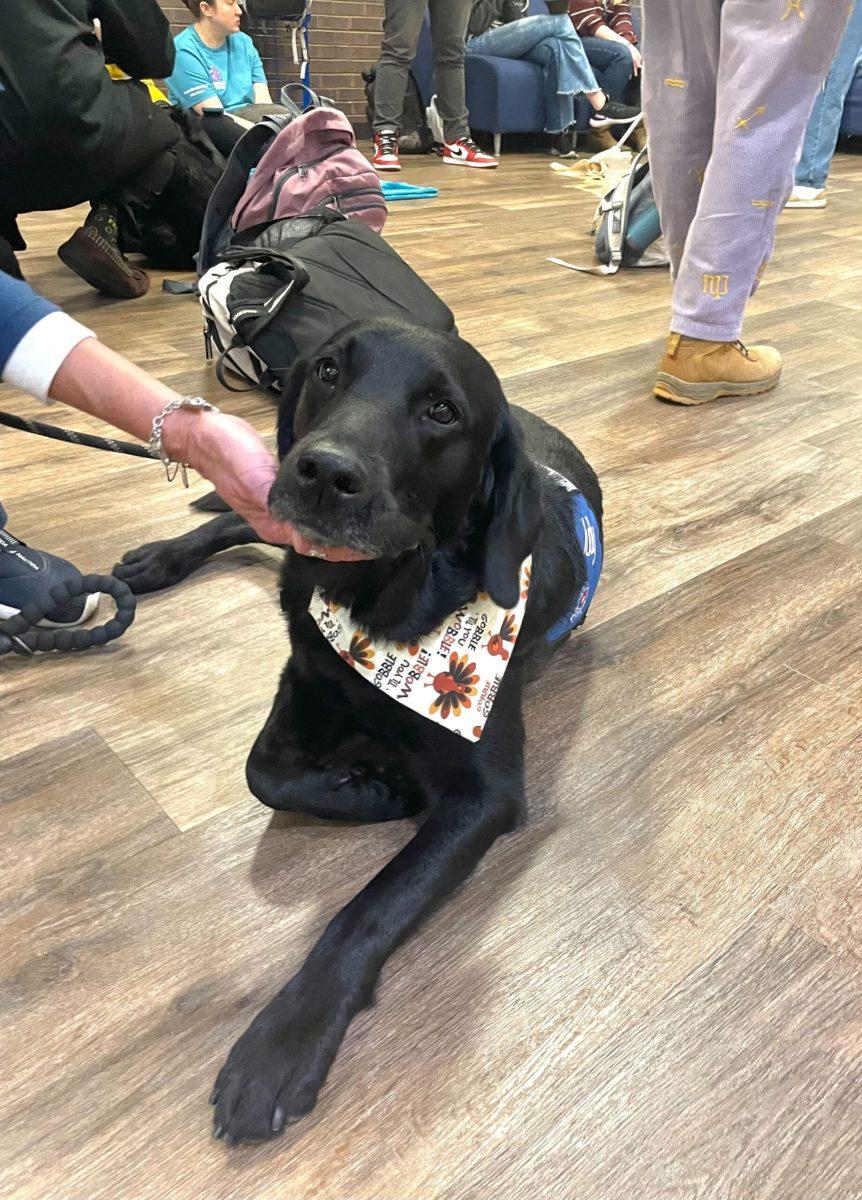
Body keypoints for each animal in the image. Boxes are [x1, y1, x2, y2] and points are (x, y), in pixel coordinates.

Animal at [112, 319, 600, 1142]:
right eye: (330, 371)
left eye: (442, 411)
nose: (324, 471)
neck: (386, 602)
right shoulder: (307, 669)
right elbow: (263, 772)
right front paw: (374, 789)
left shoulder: (487, 793)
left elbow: (368, 909)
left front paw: (286, 1038)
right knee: (243, 516)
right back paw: (160, 557)